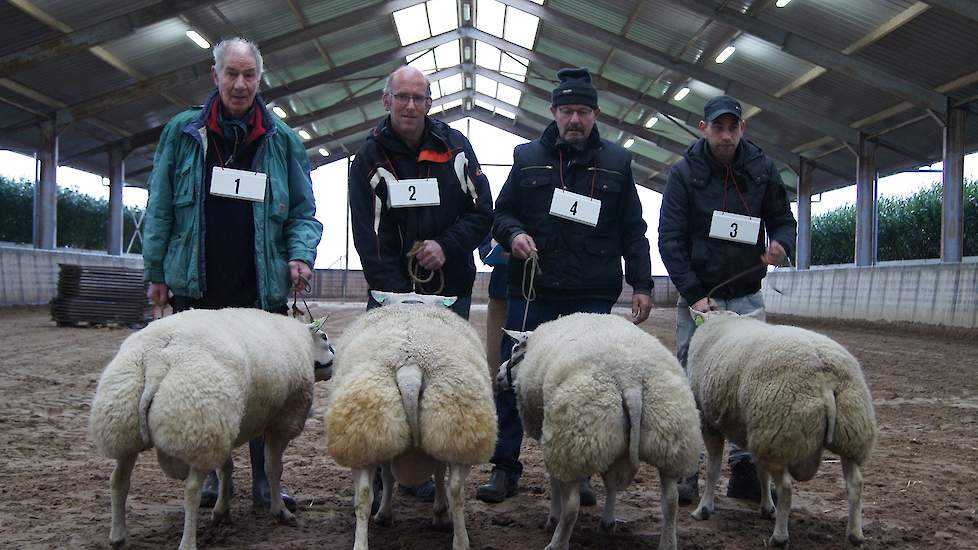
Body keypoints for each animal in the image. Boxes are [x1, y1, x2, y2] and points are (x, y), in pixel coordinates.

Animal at [91, 310, 336, 550]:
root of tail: (156, 359)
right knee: (191, 491)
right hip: (200, 422)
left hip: (126, 426)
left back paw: (119, 537)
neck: (303, 342)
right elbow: (273, 468)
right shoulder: (282, 420)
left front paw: (221, 511)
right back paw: (187, 543)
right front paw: (281, 512)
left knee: (118, 480)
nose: (334, 360)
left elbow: (226, 467)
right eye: (324, 337)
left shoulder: (225, 425)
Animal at [324, 292, 496, 548]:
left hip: (367, 433)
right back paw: (459, 540)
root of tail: (410, 365)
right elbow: (434, 472)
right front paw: (435, 514)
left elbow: (388, 475)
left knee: (364, 495)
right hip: (453, 430)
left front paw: (386, 515)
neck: (412, 305)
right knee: (455, 489)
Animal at [500, 314, 696, 550]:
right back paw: (659, 540)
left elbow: (555, 481)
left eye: (514, 349)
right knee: (670, 500)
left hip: (572, 438)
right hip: (669, 439)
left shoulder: (548, 435)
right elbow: (610, 484)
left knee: (572, 506)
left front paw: (553, 518)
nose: (498, 375)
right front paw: (607, 522)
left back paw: (557, 541)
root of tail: (630, 377)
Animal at [688, 310, 876, 548]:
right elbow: (761, 472)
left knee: (786, 488)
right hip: (849, 432)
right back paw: (855, 535)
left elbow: (713, 470)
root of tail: (825, 375)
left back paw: (779, 537)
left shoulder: (709, 422)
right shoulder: (754, 433)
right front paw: (766, 507)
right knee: (855, 485)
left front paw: (704, 509)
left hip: (778, 429)